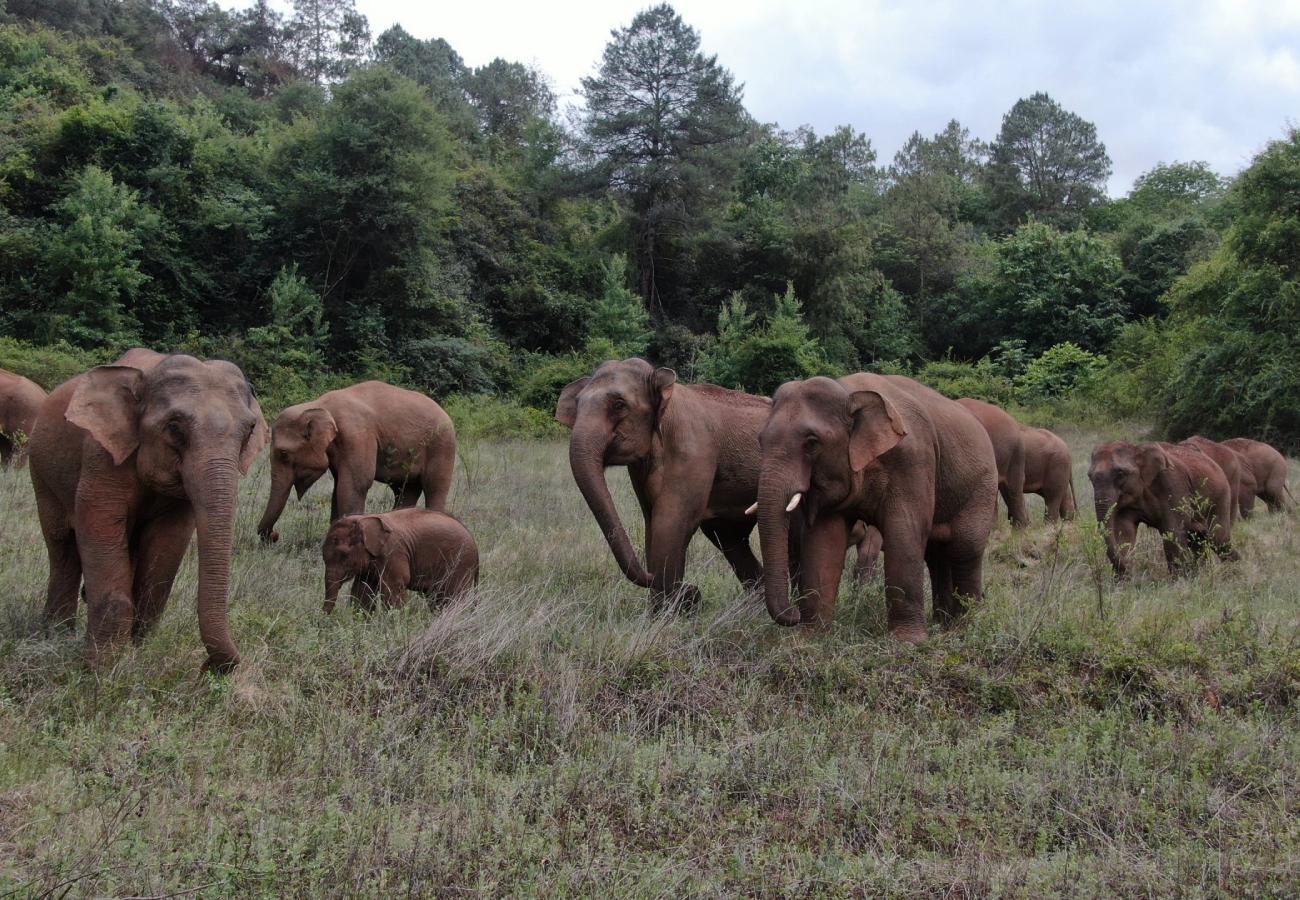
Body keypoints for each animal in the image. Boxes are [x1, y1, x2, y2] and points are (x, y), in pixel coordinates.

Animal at [29, 354, 268, 672]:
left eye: (249, 430)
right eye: (175, 428)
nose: (210, 666)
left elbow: (166, 549)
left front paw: (137, 652)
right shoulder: (101, 456)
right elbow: (98, 525)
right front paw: (100, 668)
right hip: (41, 474)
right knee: (61, 547)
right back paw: (55, 634)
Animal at [257, 381, 456, 542]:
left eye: (284, 454)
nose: (275, 535)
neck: (320, 405)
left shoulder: (357, 436)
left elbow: (354, 485)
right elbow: (338, 488)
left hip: (443, 446)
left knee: (435, 488)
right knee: (405, 491)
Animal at [322, 508, 478, 613]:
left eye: (344, 555)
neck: (364, 519)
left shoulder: (393, 552)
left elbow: (394, 586)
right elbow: (362, 590)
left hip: (461, 562)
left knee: (453, 597)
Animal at [756, 374, 998, 642]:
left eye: (811, 443)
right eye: (760, 440)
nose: (793, 614)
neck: (849, 392)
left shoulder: (913, 460)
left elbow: (904, 534)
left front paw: (908, 642)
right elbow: (824, 541)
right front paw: (812, 637)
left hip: (982, 487)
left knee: (965, 548)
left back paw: (964, 628)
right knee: (937, 555)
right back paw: (943, 624)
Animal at [1088, 441, 1238, 577]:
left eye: (1120, 473)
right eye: (1089, 476)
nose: (1131, 571)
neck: (1137, 449)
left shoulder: (1173, 485)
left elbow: (1172, 531)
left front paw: (1179, 579)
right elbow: (1124, 531)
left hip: (1220, 496)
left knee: (1218, 538)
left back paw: (1234, 569)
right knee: (1199, 539)